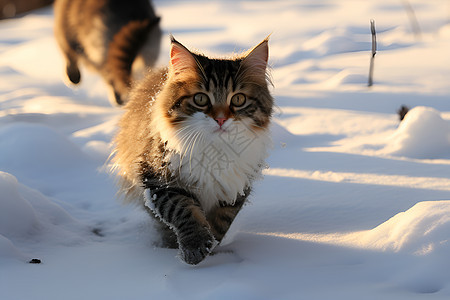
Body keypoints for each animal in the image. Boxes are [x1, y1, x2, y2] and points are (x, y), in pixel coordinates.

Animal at [112, 35, 274, 264]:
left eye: (238, 99)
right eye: (200, 99)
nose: (221, 119)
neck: (215, 150)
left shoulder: (235, 188)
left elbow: (221, 222)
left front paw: (212, 249)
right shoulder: (157, 180)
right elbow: (183, 211)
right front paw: (195, 247)